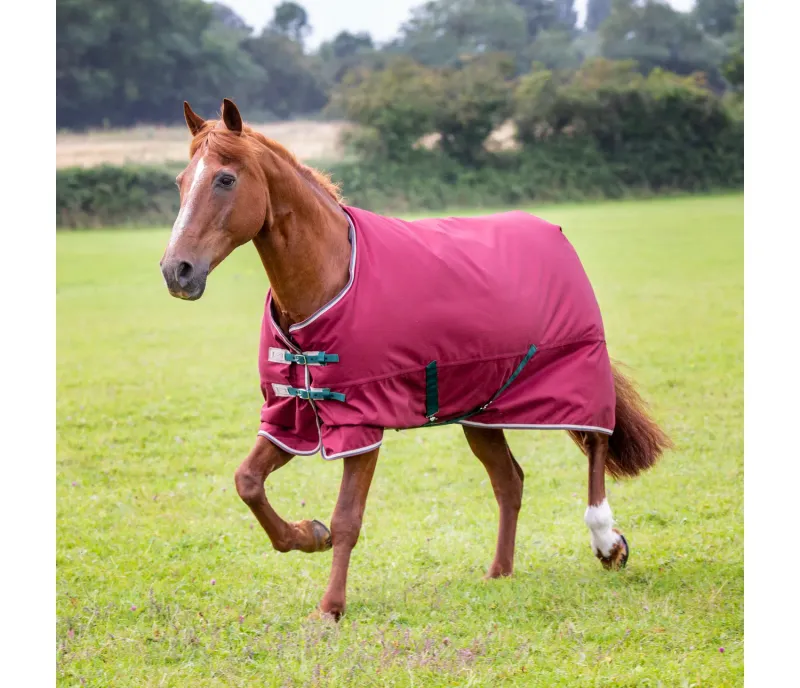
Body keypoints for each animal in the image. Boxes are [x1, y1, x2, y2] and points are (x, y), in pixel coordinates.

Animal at [159, 98, 671, 621]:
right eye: (181, 180)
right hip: (481, 411)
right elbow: (247, 482)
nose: (176, 271)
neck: (330, 277)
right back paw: (499, 571)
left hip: (576, 376)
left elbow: (348, 518)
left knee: (597, 444)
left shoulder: (361, 422)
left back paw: (607, 542)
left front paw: (331, 606)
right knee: (510, 481)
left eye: (225, 179)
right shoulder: (293, 412)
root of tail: (555, 232)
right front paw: (308, 535)